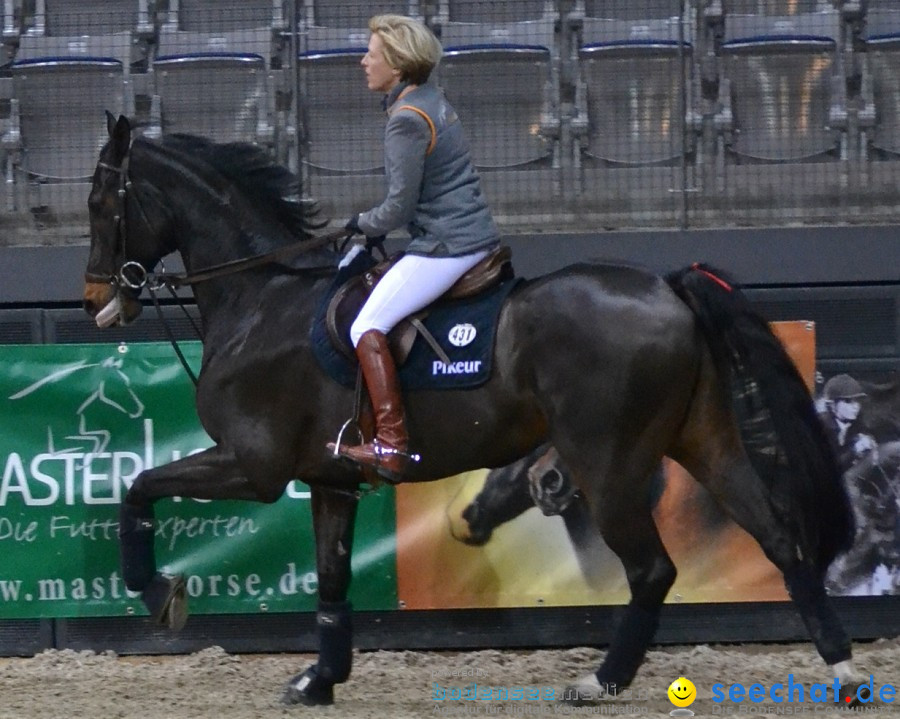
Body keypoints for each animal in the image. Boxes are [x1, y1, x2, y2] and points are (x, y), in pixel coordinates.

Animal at [82, 115, 856, 704]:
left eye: (98, 203)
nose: (95, 302)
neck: (262, 298)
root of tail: (665, 286)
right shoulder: (330, 479)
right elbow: (332, 580)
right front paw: (319, 679)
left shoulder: (254, 465)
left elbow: (137, 488)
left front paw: (158, 594)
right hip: (704, 441)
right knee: (781, 539)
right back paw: (842, 671)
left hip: (606, 465)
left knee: (653, 572)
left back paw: (600, 681)